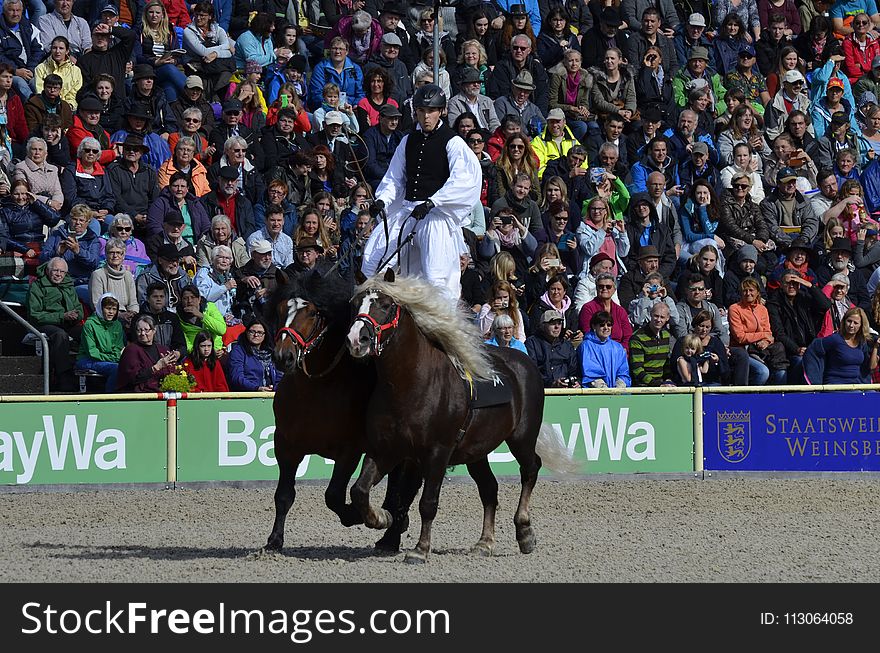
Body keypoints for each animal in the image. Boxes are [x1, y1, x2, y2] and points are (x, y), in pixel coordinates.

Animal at [344, 268, 572, 560]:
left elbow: (428, 502)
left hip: (522, 438)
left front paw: (420, 549)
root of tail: (525, 362)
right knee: (489, 488)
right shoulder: (386, 451)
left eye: (386, 305)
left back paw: (524, 532)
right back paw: (485, 542)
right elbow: (361, 490)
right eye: (354, 304)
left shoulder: (437, 453)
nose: (356, 340)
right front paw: (382, 520)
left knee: (530, 469)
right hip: (477, 452)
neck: (411, 384)